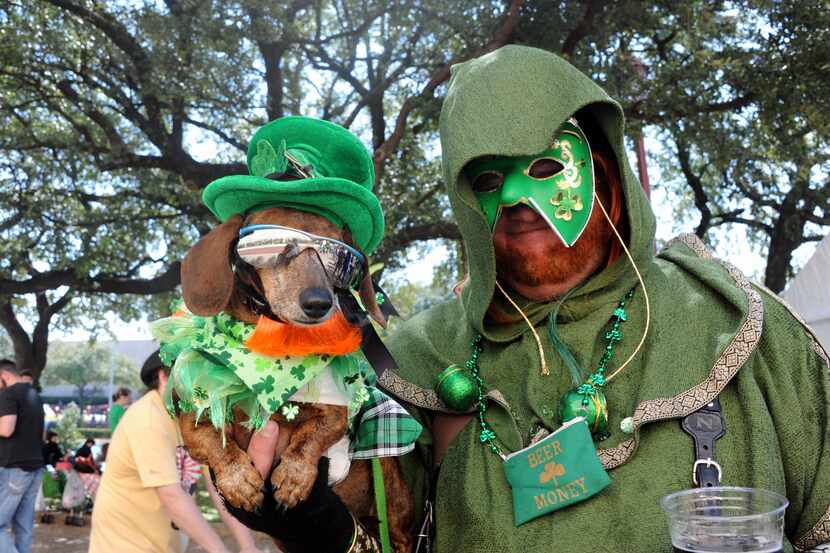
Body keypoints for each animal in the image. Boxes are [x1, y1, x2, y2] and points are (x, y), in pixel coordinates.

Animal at [181, 207, 416, 552]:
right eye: (274, 244)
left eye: (340, 255)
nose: (319, 303)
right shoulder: (193, 416)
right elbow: (213, 443)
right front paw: (239, 481)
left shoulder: (335, 414)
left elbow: (310, 438)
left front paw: (293, 478)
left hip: (392, 489)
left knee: (400, 532)